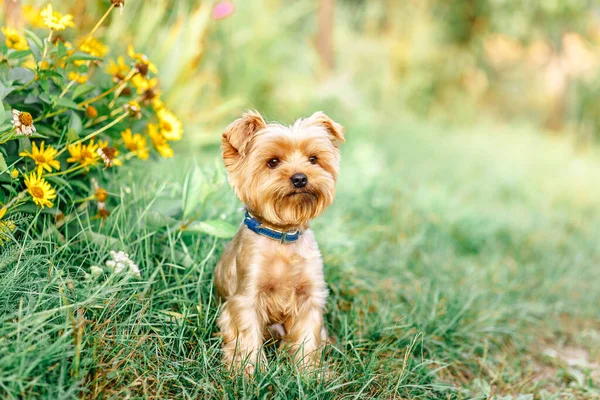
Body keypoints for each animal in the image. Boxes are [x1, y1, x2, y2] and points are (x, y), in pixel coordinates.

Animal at [214, 109, 344, 372]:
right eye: (273, 162)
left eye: (313, 159)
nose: (300, 178)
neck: (283, 235)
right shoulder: (247, 296)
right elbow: (248, 336)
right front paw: (249, 373)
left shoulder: (309, 297)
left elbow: (307, 337)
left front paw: (308, 373)